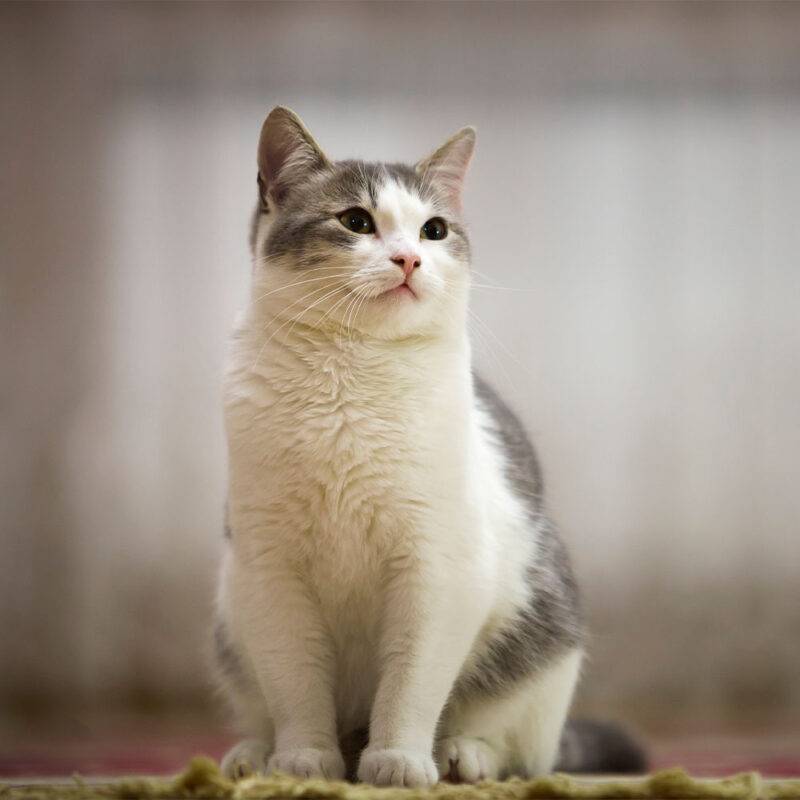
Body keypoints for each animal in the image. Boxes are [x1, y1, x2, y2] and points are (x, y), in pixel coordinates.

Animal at [214, 108, 644, 788]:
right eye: (356, 221)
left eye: (433, 230)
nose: (410, 258)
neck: (351, 380)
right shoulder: (271, 570)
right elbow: (295, 683)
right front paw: (303, 759)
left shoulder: (437, 569)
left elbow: (411, 682)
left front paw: (398, 760)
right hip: (233, 620)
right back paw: (256, 754)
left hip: (544, 639)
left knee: (525, 750)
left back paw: (465, 757)